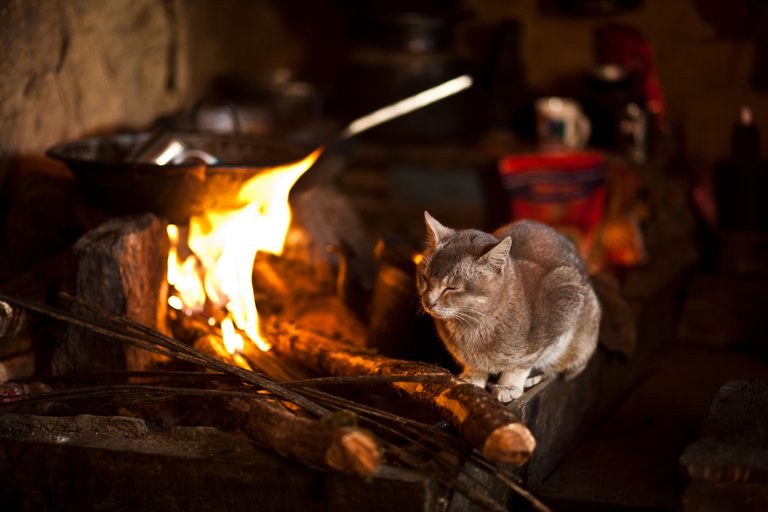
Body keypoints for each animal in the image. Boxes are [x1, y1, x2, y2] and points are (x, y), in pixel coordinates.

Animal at [414, 210, 600, 402]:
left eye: (451, 288)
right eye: (425, 278)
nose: (428, 302)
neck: (473, 324)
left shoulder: (561, 309)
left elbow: (522, 364)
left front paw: (509, 385)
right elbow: (475, 365)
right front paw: (472, 377)